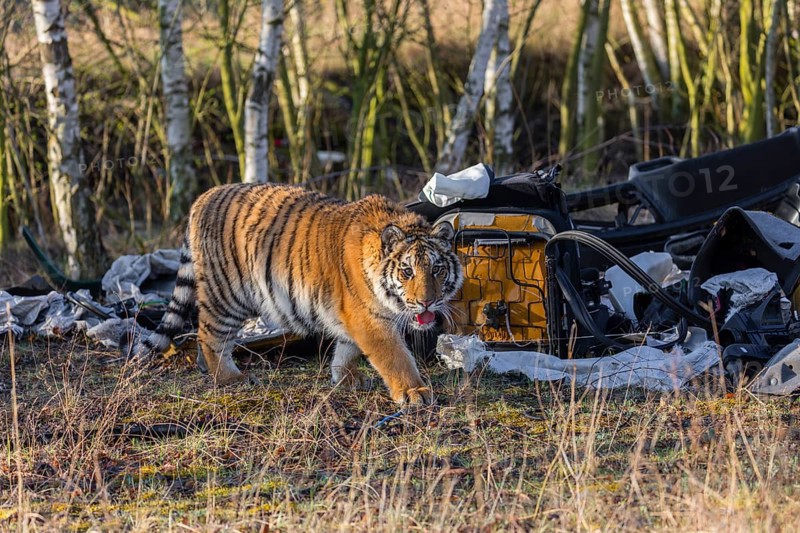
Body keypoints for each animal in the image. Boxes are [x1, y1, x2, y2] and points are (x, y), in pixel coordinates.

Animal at [132, 183, 463, 405]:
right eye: (407, 271)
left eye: (437, 269)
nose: (427, 302)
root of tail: (204, 196)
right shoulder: (370, 319)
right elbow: (395, 357)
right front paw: (415, 392)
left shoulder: (353, 316)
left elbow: (347, 348)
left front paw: (345, 378)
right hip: (227, 294)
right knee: (209, 334)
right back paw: (229, 378)